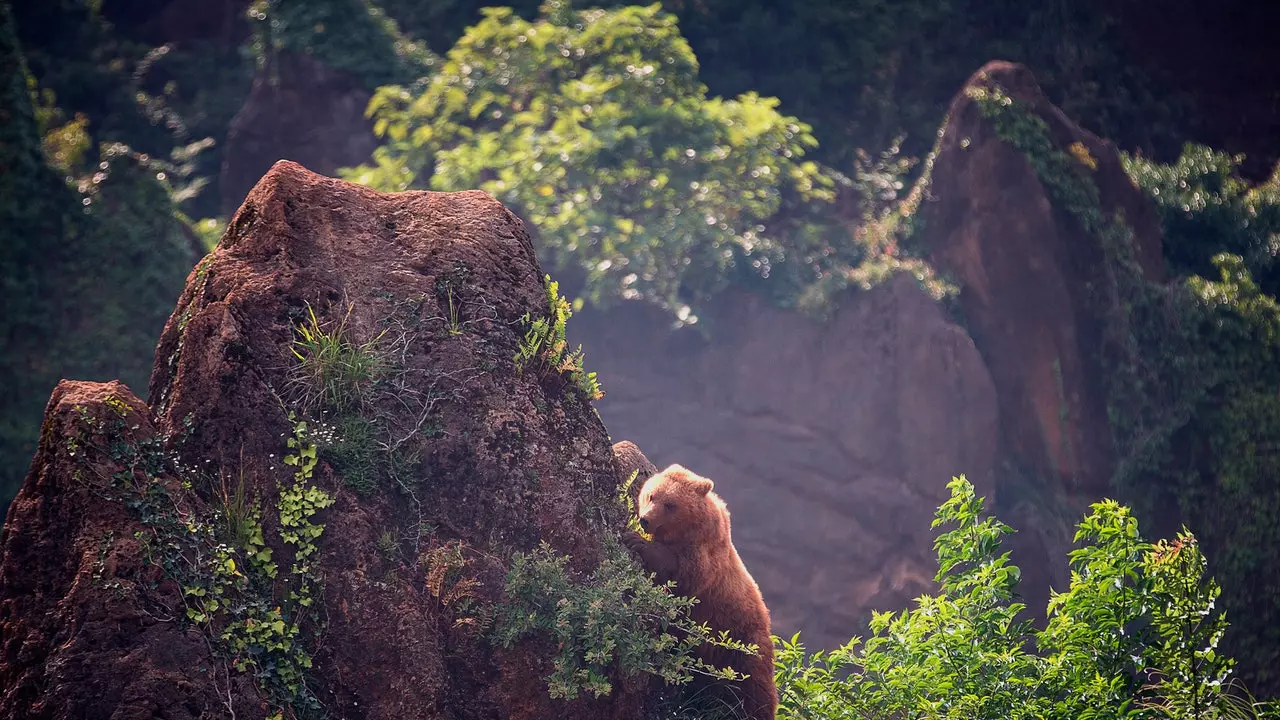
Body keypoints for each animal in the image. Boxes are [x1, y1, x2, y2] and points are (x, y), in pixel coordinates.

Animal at [624, 461, 773, 712]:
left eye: (670, 504)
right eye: (651, 495)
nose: (645, 519)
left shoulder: (704, 562)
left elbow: (679, 572)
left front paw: (637, 541)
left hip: (742, 645)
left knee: (755, 690)